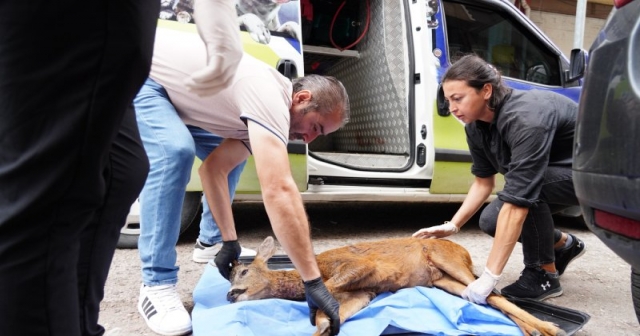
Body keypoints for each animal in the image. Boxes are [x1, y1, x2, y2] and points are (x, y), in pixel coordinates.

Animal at [228, 236, 568, 336]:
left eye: (243, 271)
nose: (229, 294)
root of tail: (463, 251)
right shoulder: (362, 293)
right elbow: (335, 315)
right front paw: (322, 324)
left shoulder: (357, 266)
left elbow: (331, 291)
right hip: (441, 280)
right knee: (486, 298)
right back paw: (535, 330)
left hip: (447, 259)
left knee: (490, 292)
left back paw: (550, 328)